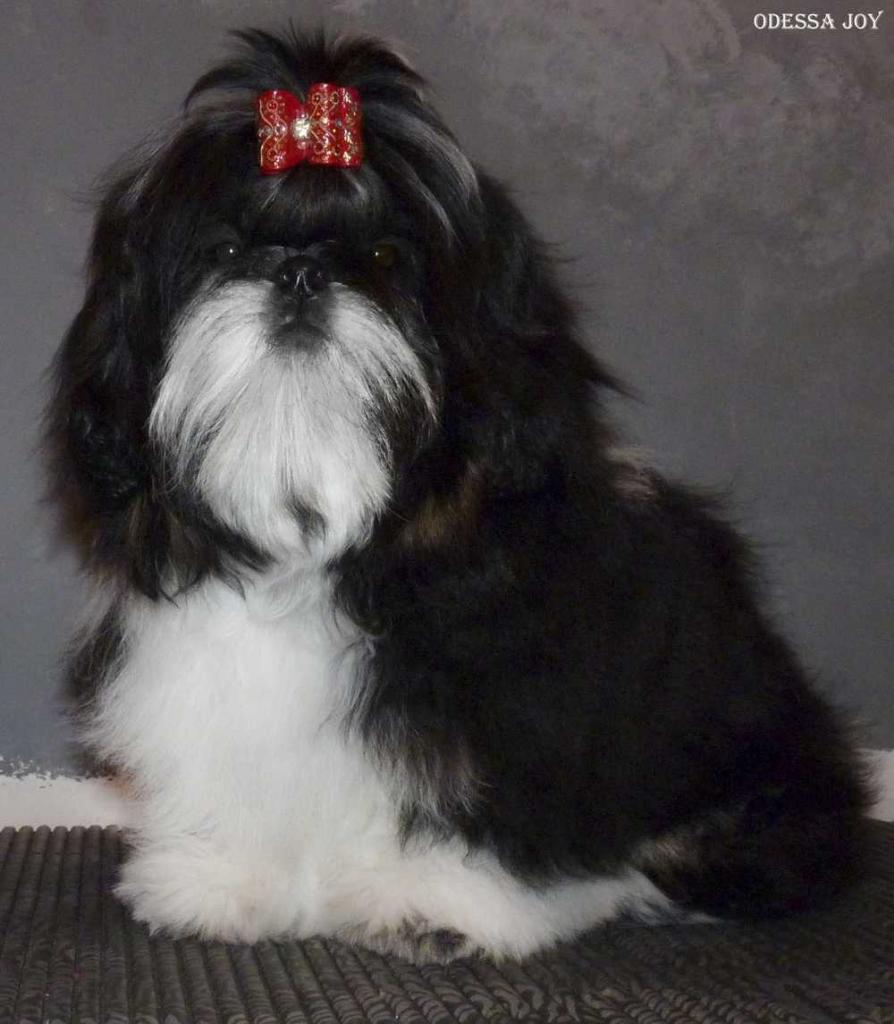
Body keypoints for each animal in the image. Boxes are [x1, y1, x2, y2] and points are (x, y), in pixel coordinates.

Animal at [46, 27, 871, 962]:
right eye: (223, 253)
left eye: (383, 259)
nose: (299, 273)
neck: (329, 532)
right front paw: (225, 880)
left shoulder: (504, 699)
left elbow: (464, 801)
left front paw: (436, 903)